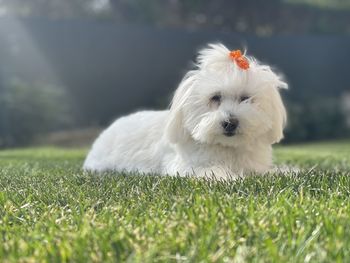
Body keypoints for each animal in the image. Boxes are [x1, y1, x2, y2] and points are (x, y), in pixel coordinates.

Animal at [85, 43, 288, 179]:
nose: (230, 122)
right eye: (215, 97)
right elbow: (211, 171)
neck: (227, 147)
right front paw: (229, 177)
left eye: (245, 98)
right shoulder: (184, 166)